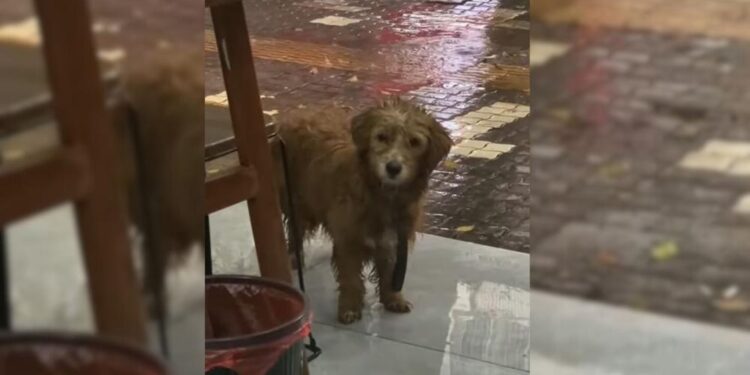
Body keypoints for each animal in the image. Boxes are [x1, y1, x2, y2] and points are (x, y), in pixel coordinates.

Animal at [276, 98, 452, 324]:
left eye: (414, 142)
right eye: (381, 137)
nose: (393, 168)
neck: (383, 196)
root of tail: (300, 111)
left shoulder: (394, 239)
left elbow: (390, 273)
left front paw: (393, 298)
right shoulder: (348, 240)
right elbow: (351, 278)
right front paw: (350, 307)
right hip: (297, 201)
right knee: (294, 229)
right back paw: (293, 257)